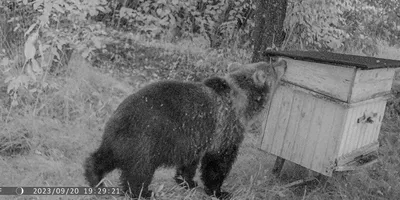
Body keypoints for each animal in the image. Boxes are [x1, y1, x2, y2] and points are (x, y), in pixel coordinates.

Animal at [83, 59, 286, 198]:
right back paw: (144, 192)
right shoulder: (225, 130)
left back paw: (95, 178)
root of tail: (120, 115)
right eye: (272, 66)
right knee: (139, 171)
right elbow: (218, 163)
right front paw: (219, 191)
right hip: (146, 140)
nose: (283, 61)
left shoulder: (196, 137)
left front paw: (188, 181)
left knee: (104, 157)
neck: (243, 104)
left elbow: (190, 162)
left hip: (120, 140)